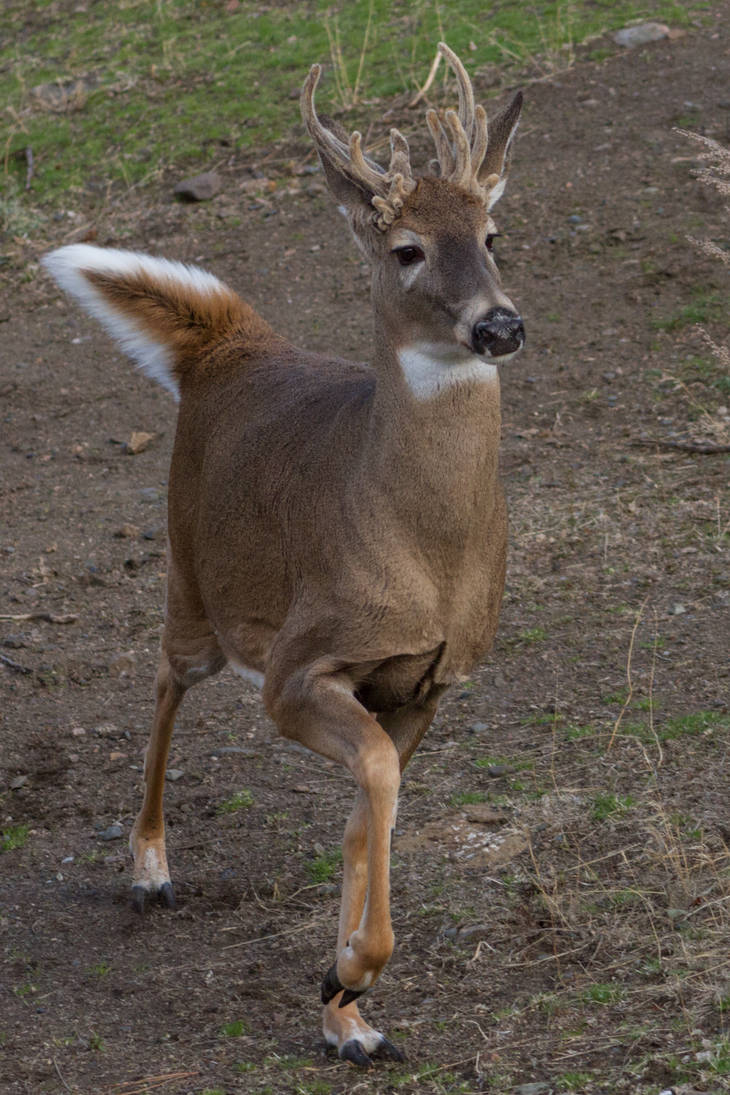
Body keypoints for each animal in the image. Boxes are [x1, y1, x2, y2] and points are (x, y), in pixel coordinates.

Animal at [43, 43, 524, 1067]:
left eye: (494, 233)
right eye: (406, 249)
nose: (499, 326)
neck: (424, 555)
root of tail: (230, 339)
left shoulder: (425, 683)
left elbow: (368, 808)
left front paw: (347, 1007)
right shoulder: (299, 664)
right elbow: (372, 778)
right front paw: (351, 972)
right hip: (193, 574)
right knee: (165, 675)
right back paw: (148, 867)